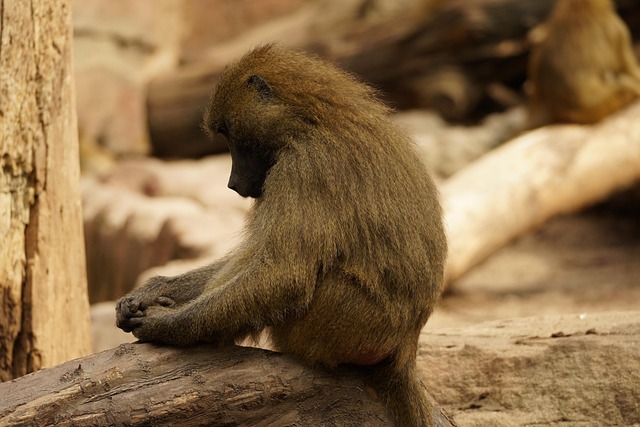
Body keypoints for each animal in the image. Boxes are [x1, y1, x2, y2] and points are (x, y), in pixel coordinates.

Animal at [116, 44, 447, 426]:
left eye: (232, 135)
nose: (233, 184)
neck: (313, 121)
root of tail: (406, 347)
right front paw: (151, 292)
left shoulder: (304, 168)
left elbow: (283, 275)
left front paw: (164, 324)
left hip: (352, 327)